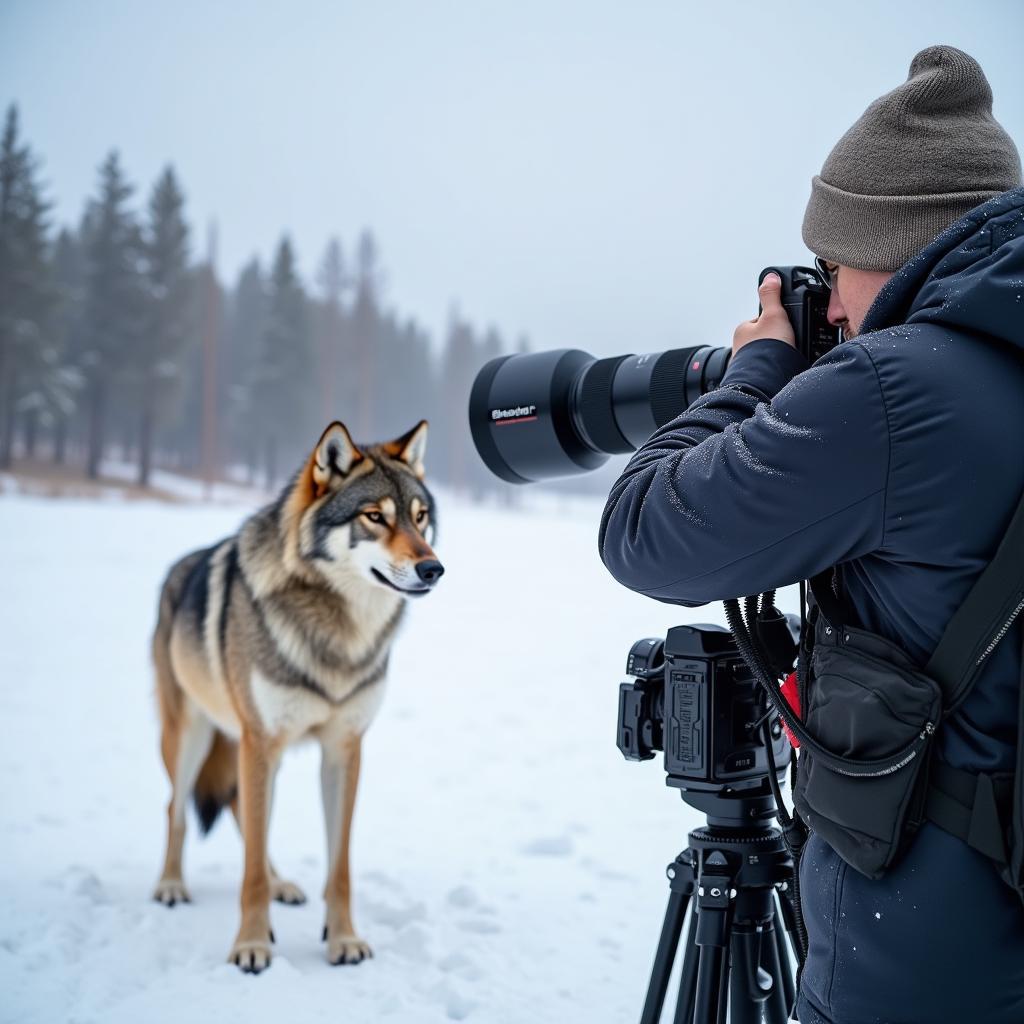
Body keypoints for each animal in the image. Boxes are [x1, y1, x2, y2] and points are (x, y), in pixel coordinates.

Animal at [150, 419, 444, 970]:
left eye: (420, 519)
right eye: (374, 517)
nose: (433, 569)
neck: (339, 636)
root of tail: (178, 568)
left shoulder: (343, 749)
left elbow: (340, 867)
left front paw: (343, 940)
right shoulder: (260, 742)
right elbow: (248, 873)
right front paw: (251, 945)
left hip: (260, 753)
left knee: (243, 813)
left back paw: (282, 884)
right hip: (193, 740)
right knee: (176, 809)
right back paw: (171, 885)